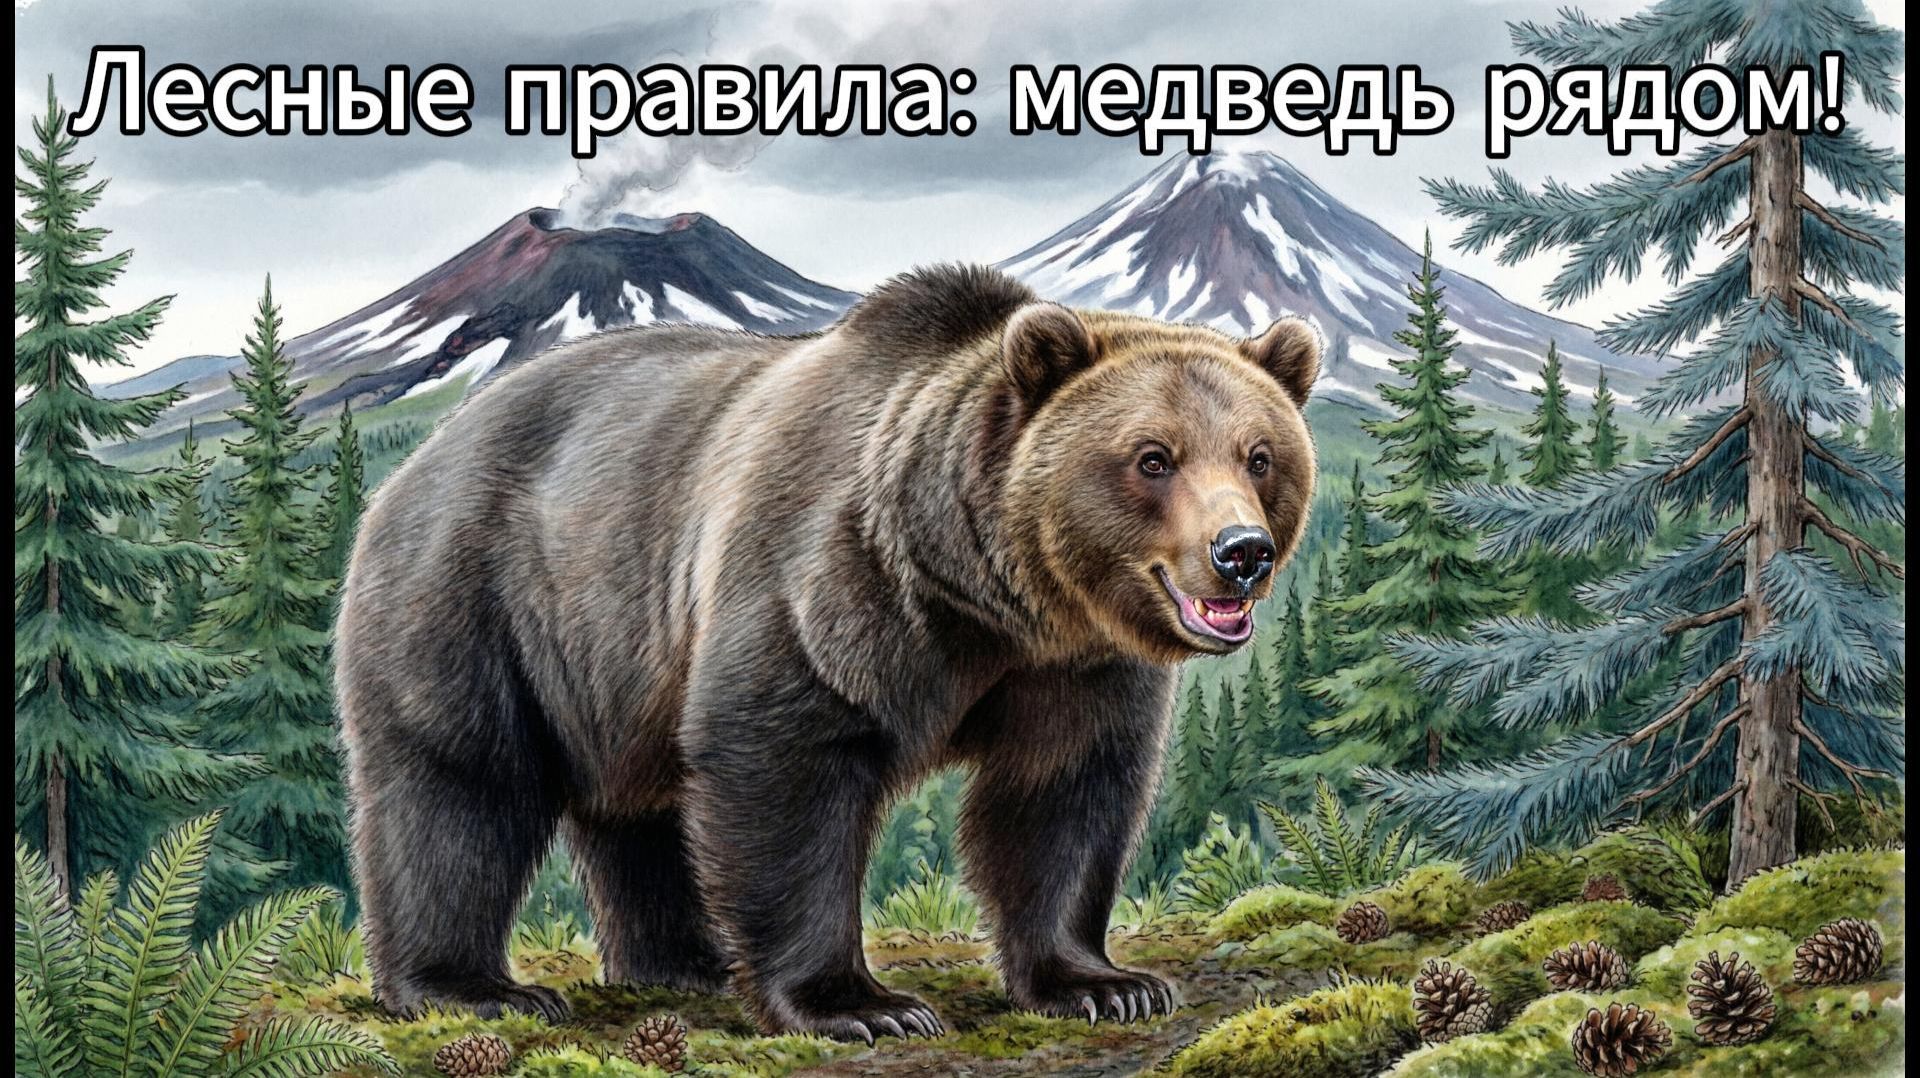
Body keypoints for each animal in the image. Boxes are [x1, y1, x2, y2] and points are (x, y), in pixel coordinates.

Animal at [336, 264, 1320, 1040]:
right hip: (479, 591)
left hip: (613, 658)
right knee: (459, 784)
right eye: (1153, 457)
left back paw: (683, 962)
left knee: (638, 807)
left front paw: (1104, 983)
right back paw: (472, 988)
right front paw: (862, 1004)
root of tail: (421, 456)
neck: (989, 592)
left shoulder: (1076, 665)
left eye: (1260, 454)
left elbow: (1063, 791)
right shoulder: (833, 579)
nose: (1241, 552)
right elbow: (786, 765)